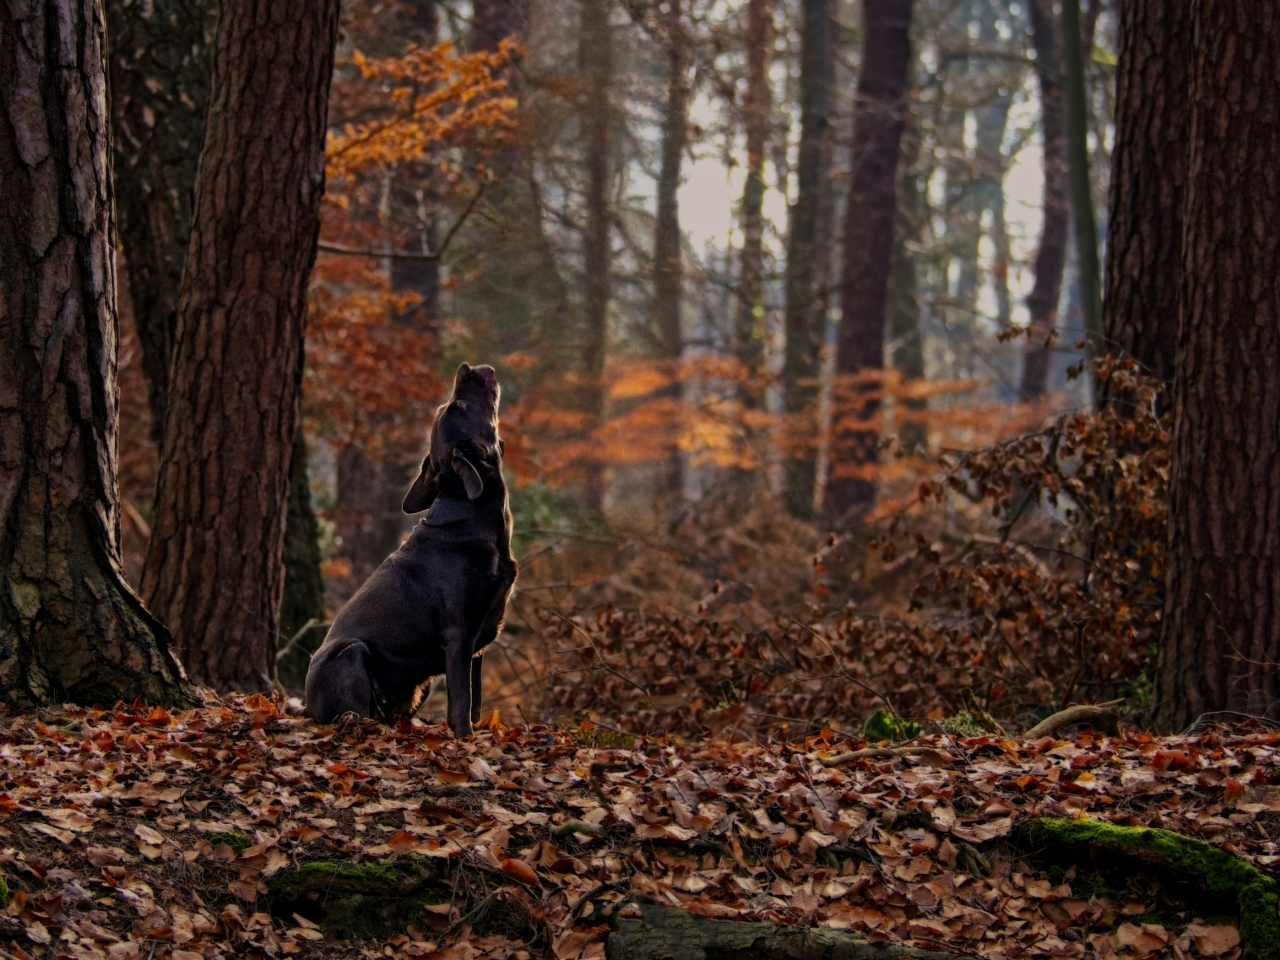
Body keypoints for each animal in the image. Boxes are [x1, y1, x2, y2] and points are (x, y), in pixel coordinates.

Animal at [302, 366, 517, 737]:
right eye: (458, 406)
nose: (465, 368)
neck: (471, 512)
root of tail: (305, 706)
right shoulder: (460, 636)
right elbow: (461, 704)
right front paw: (464, 739)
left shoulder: (478, 643)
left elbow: (475, 701)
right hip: (352, 653)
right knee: (354, 713)